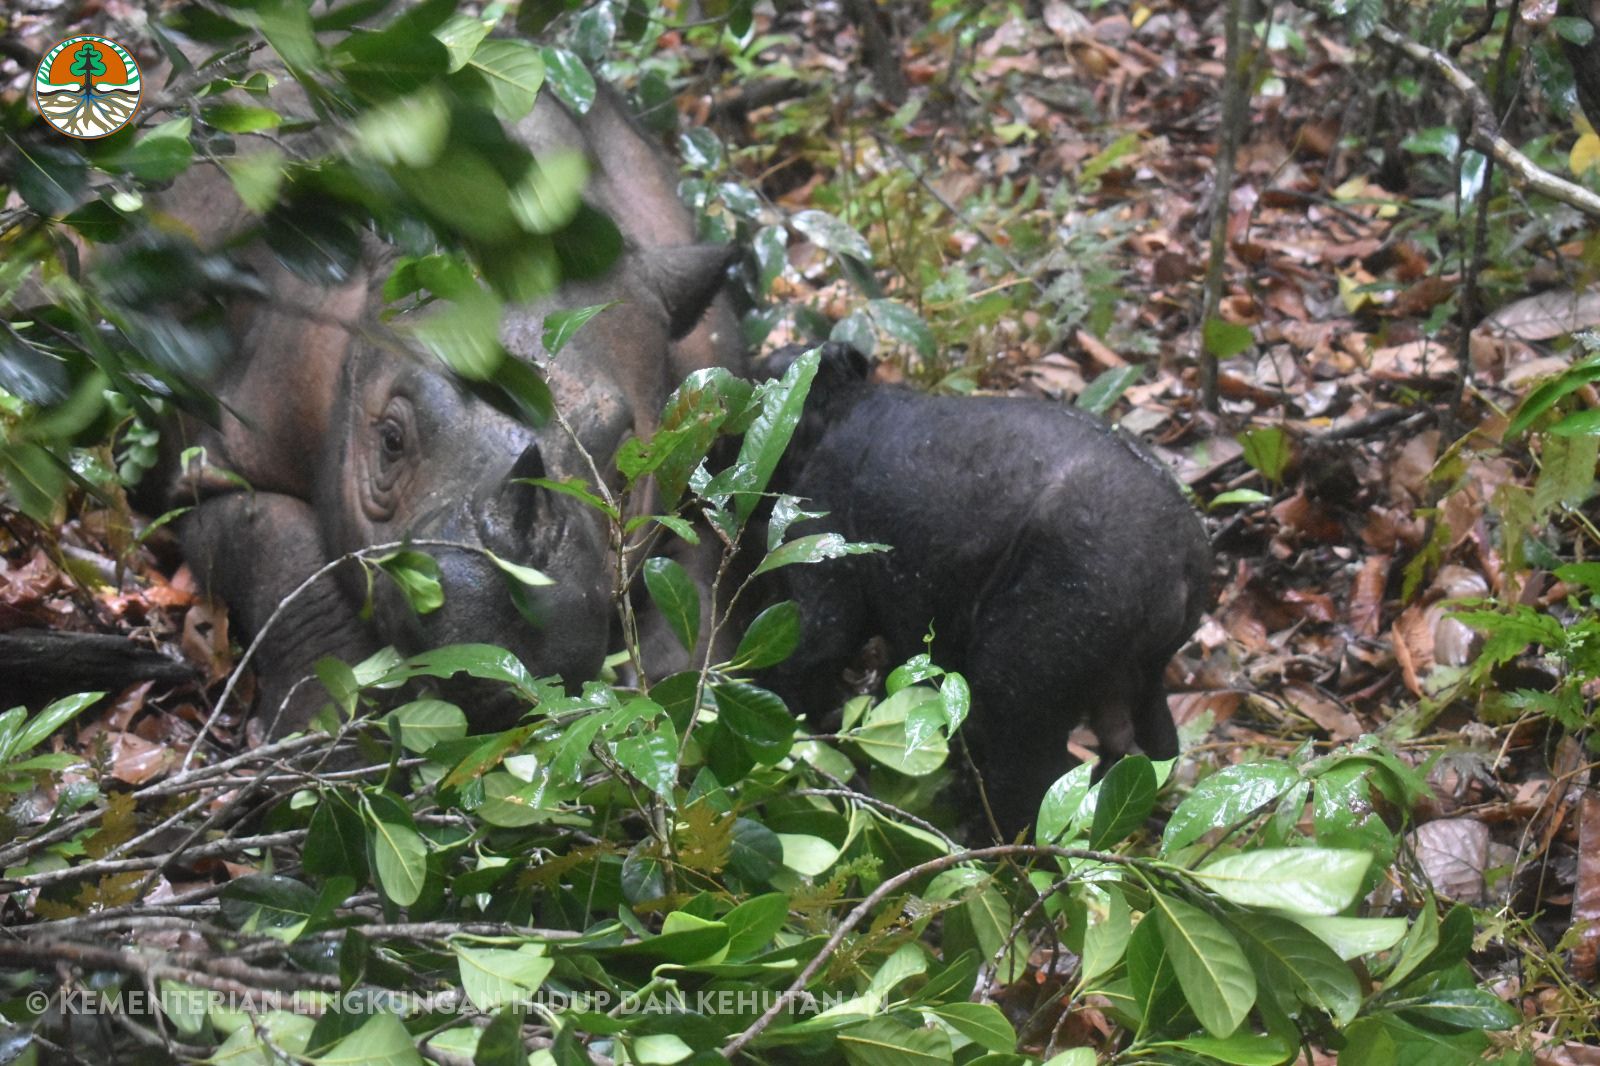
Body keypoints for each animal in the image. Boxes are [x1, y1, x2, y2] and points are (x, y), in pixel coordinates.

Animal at [162, 89, 732, 729]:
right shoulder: (221, 448)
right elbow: (283, 558)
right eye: (390, 441)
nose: (498, 637)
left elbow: (699, 564)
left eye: (624, 479)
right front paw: (328, 728)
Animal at [755, 340, 1203, 832]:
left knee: (1027, 771)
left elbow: (806, 658)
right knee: (1152, 746)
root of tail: (1184, 564)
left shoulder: (821, 541)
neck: (836, 405)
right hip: (1141, 671)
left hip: (1038, 653)